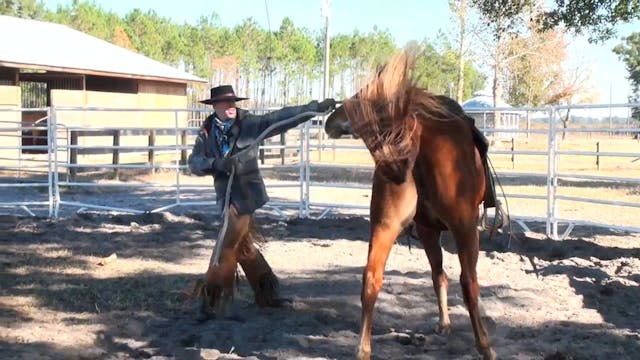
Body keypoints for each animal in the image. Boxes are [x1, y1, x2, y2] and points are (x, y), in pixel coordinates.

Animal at [324, 51, 496, 360]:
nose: (331, 120)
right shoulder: (464, 228)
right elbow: (468, 282)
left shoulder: (429, 228)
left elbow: (441, 275)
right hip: (452, 228)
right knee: (464, 282)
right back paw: (481, 344)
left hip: (397, 226)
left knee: (379, 278)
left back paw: (365, 348)